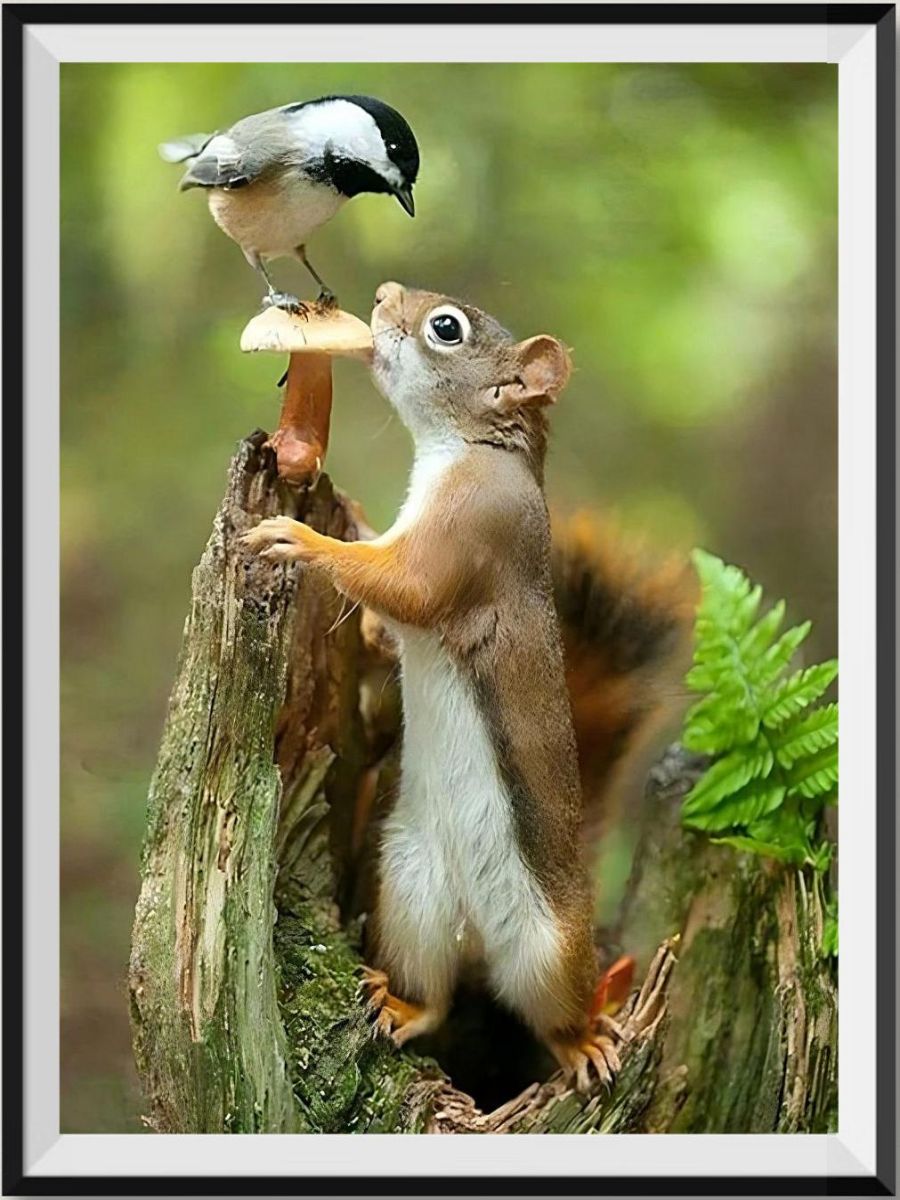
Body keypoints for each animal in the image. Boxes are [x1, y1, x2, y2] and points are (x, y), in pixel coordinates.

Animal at [243, 281, 693, 1091]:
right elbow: (388, 612)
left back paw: (584, 1042)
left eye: (445, 329)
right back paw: (402, 1005)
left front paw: (304, 540)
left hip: (548, 951)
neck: (470, 450)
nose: (382, 295)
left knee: (552, 1014)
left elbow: (406, 589)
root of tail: (479, 935)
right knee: (438, 996)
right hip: (410, 893)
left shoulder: (471, 534)